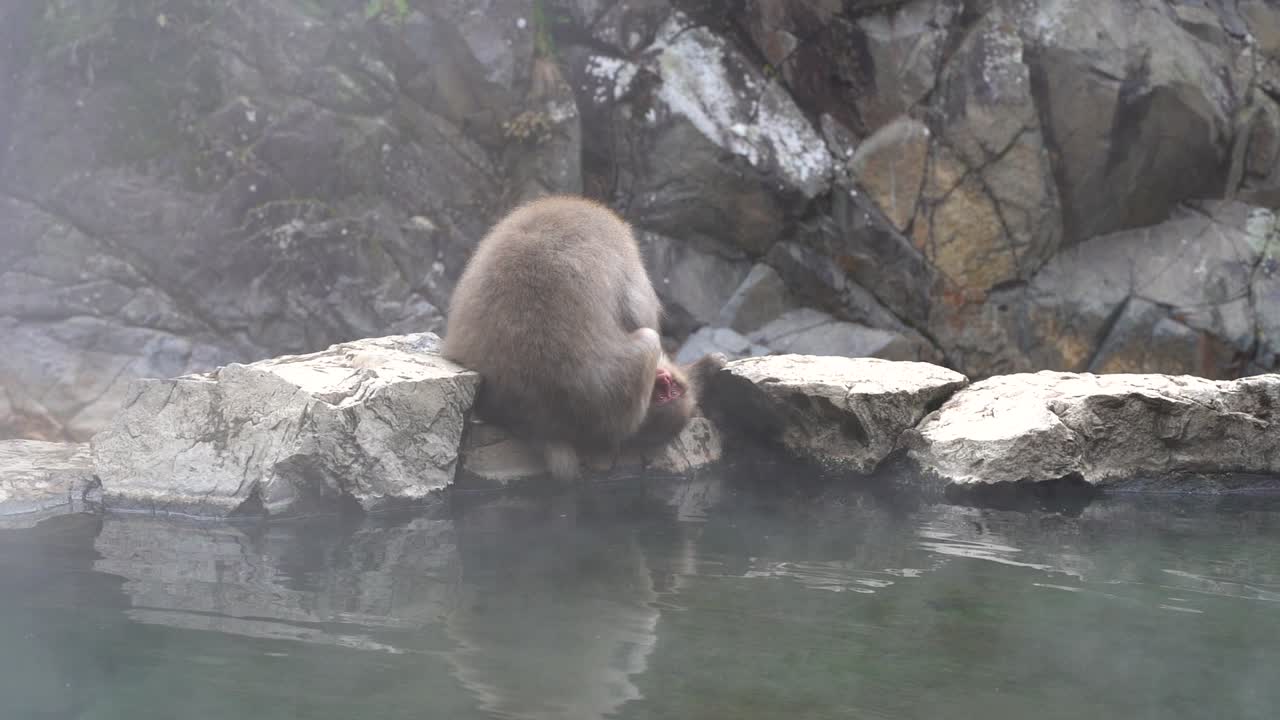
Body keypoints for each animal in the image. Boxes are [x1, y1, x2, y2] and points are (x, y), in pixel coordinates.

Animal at [443, 195, 725, 482]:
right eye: (667, 391)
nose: (666, 385)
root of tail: (537, 425)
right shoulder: (624, 248)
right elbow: (641, 313)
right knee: (648, 341)